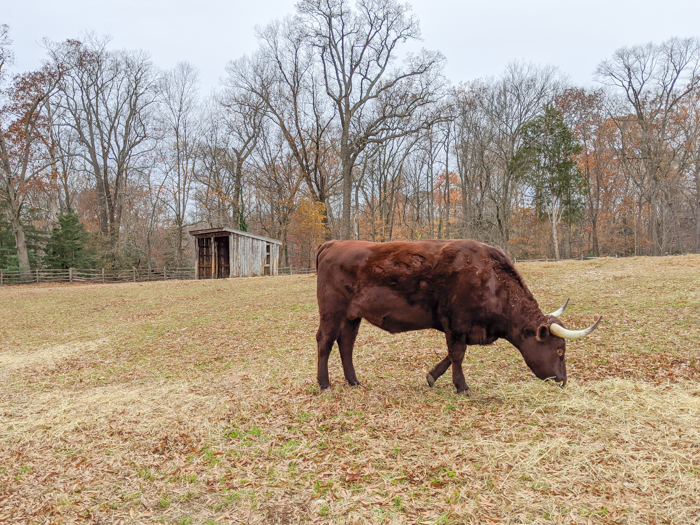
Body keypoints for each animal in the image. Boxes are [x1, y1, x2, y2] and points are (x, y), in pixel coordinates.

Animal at [314, 239, 600, 390]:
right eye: (560, 350)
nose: (563, 381)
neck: (489, 279)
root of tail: (335, 243)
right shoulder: (456, 323)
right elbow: (457, 354)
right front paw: (461, 386)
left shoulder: (465, 328)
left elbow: (451, 355)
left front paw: (432, 376)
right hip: (332, 311)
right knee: (325, 341)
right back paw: (324, 383)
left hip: (352, 316)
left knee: (346, 343)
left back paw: (353, 381)